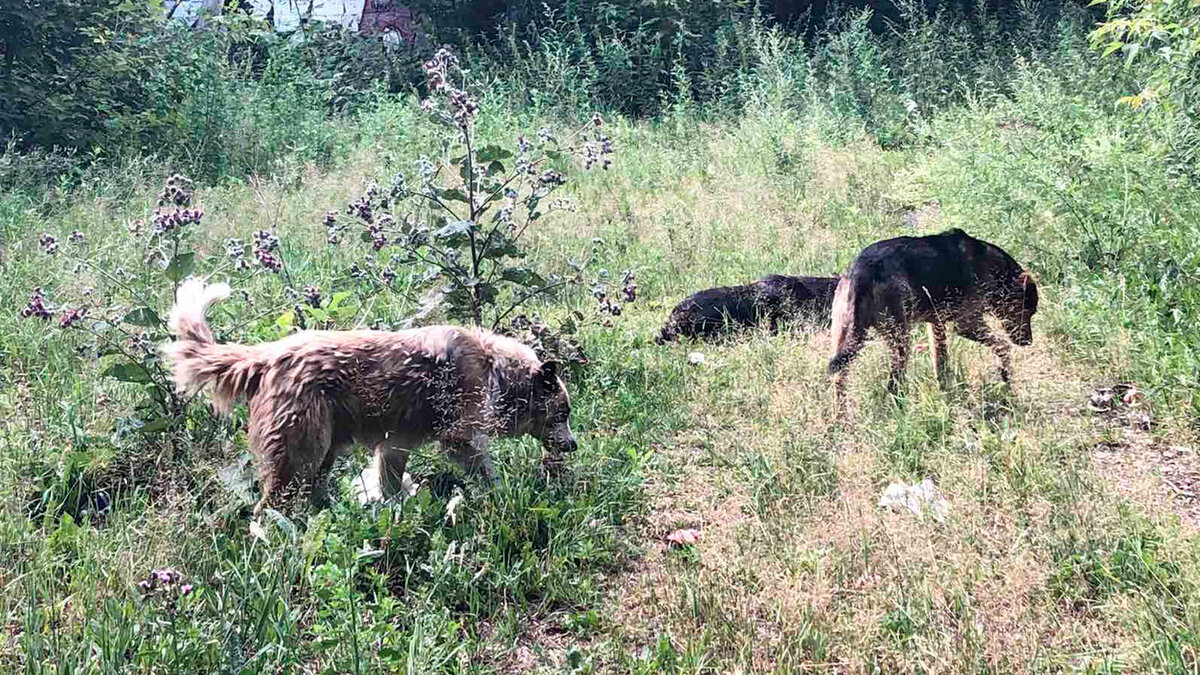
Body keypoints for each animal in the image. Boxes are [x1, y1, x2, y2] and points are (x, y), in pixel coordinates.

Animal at [825, 225, 1041, 408]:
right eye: (1027, 311)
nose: (1028, 342)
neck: (993, 268)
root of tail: (860, 272)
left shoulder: (936, 325)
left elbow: (941, 363)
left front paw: (945, 394)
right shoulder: (967, 325)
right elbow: (1002, 346)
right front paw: (1005, 376)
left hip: (844, 337)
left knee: (838, 380)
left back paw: (841, 420)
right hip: (900, 341)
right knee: (893, 384)